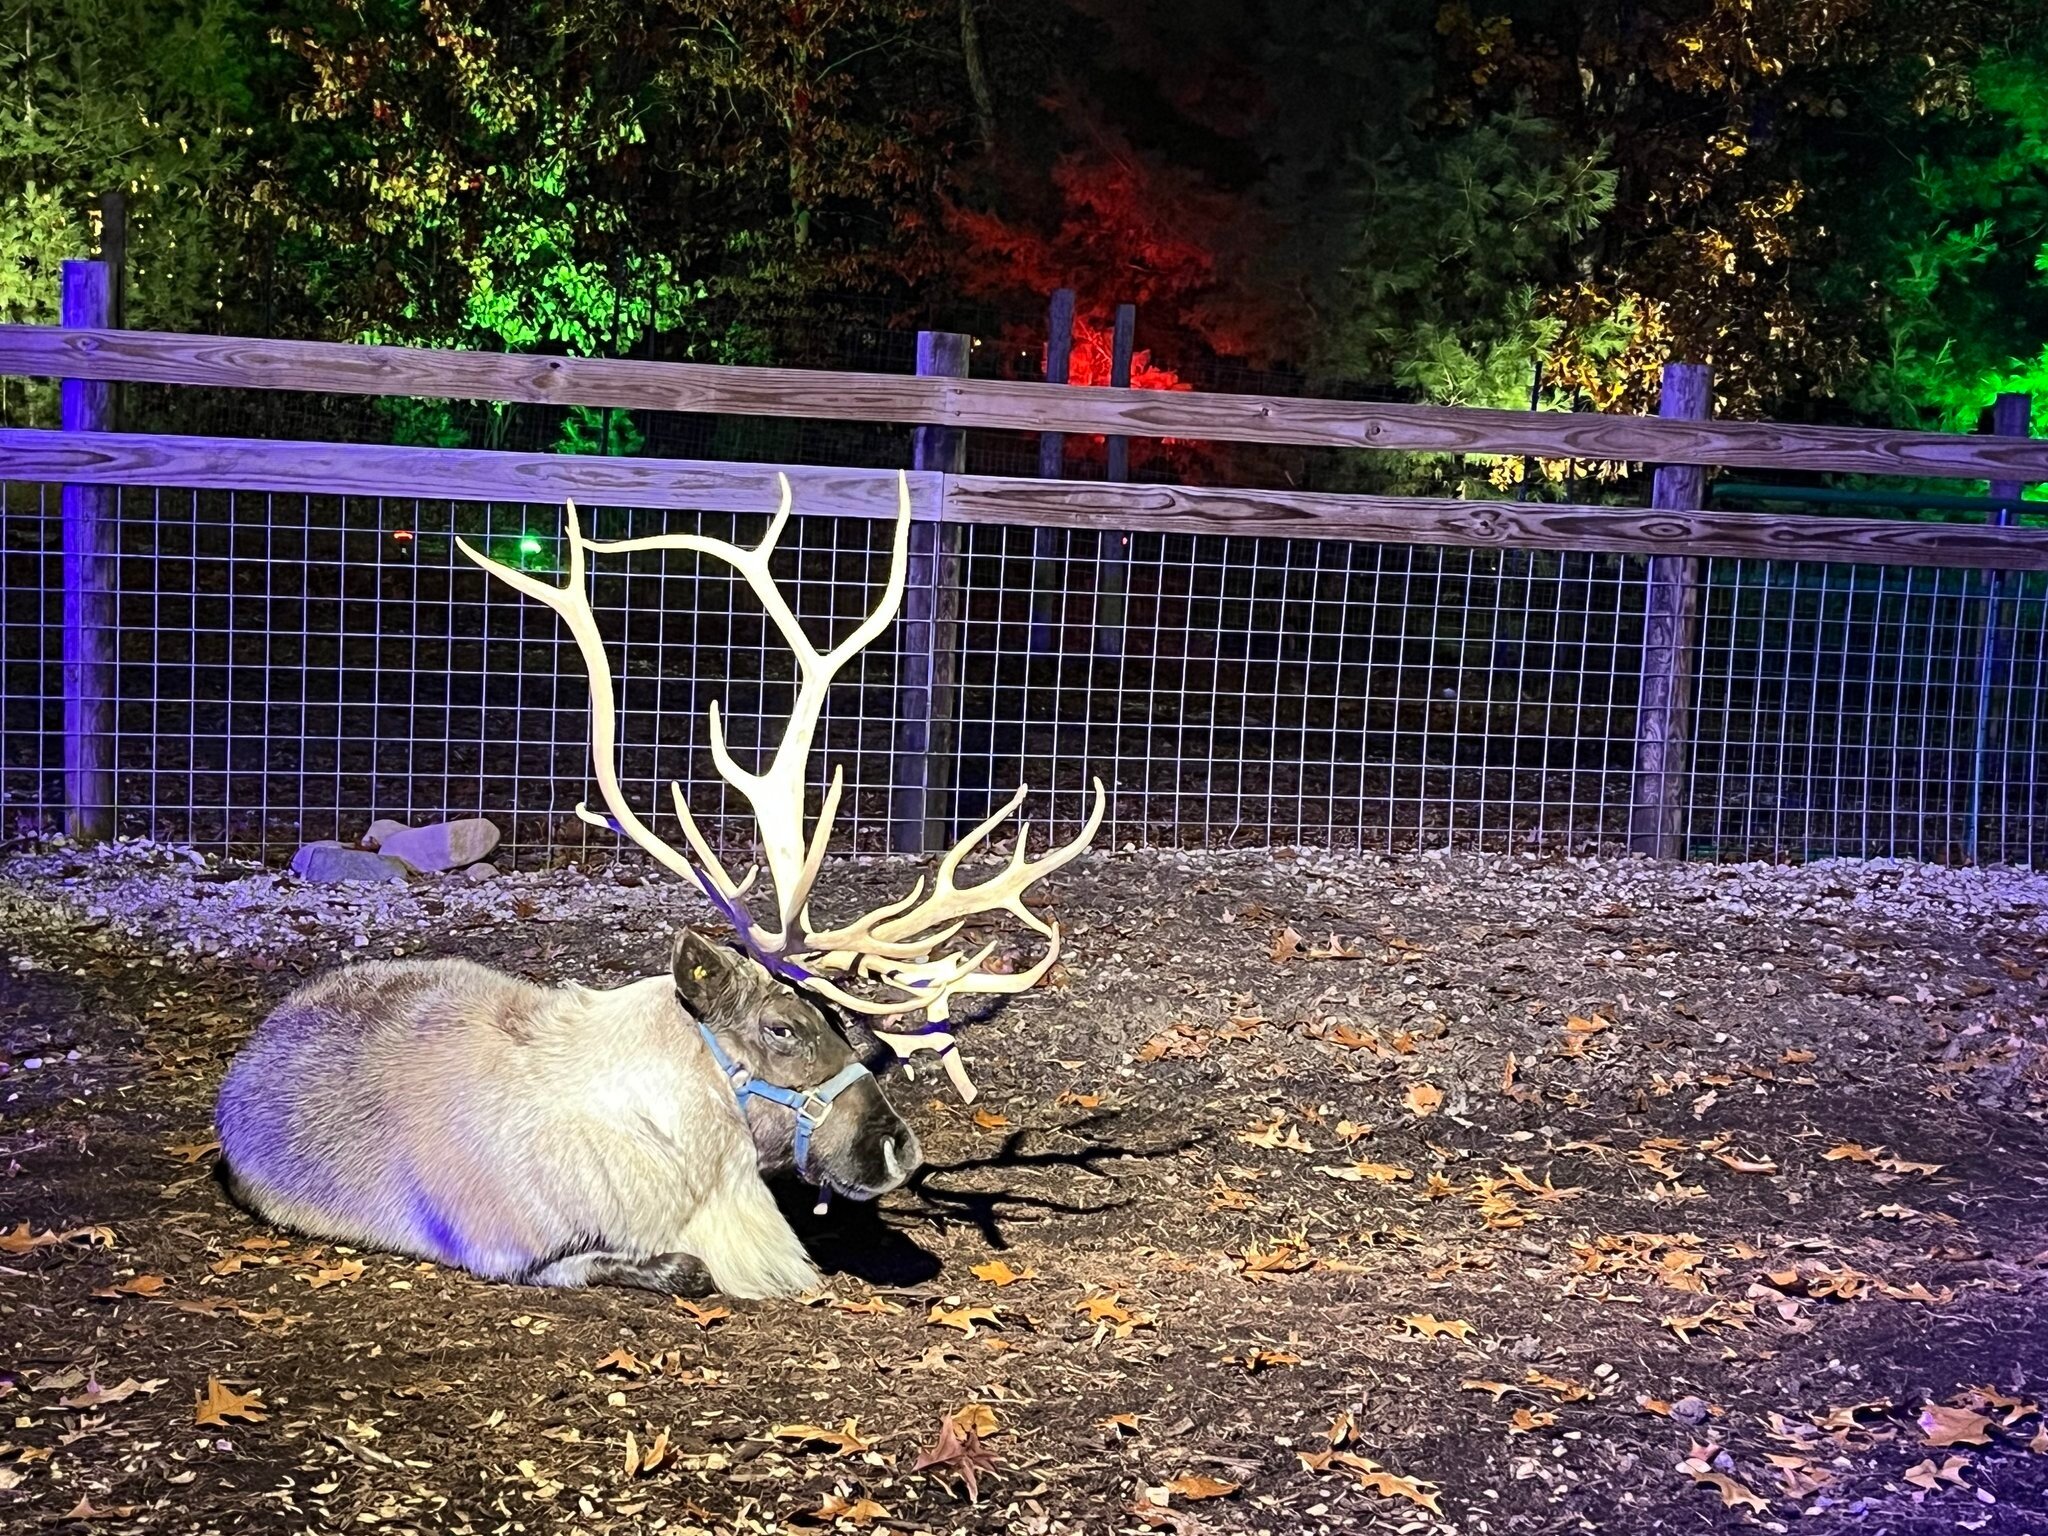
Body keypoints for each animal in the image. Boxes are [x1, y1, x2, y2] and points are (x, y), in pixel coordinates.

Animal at [215, 473, 1105, 1296]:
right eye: (783, 1027)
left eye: (845, 1026)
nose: (901, 1147)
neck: (694, 1165)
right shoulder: (510, 1249)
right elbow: (676, 1268)